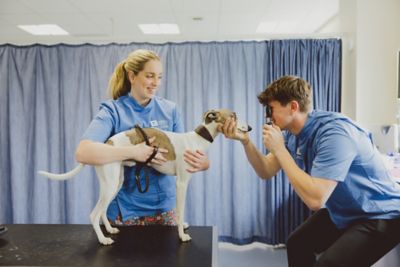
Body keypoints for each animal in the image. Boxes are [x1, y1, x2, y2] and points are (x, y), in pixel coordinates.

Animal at [37, 108, 250, 245]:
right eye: (234, 116)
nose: (250, 128)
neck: (197, 139)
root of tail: (107, 143)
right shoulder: (181, 183)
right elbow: (180, 211)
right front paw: (182, 235)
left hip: (115, 182)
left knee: (103, 210)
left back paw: (110, 230)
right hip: (110, 184)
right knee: (94, 214)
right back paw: (103, 239)